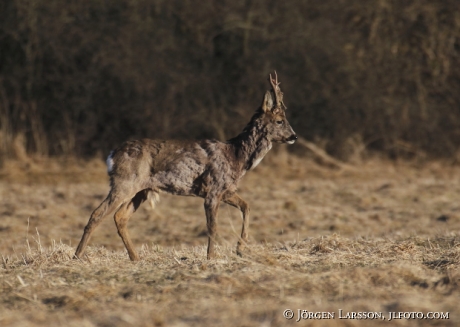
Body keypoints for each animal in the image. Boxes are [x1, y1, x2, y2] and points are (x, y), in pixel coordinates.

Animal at [74, 72, 298, 262]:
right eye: (280, 121)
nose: (294, 136)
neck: (236, 157)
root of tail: (112, 155)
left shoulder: (226, 190)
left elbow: (247, 206)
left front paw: (240, 248)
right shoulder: (213, 188)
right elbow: (212, 226)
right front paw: (211, 257)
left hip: (141, 190)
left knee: (120, 217)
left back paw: (135, 257)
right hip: (125, 182)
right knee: (98, 213)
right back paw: (77, 255)